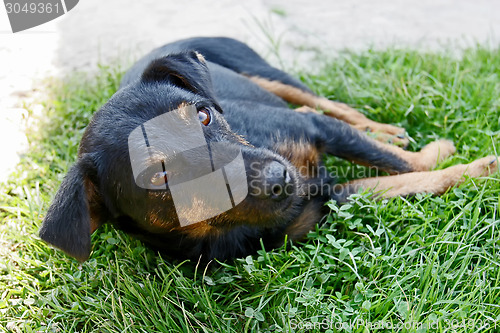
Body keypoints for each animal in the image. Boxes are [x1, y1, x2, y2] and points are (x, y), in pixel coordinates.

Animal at [38, 36, 496, 262]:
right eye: (159, 176)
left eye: (203, 115)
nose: (280, 179)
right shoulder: (333, 200)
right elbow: (411, 180)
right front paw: (472, 168)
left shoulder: (312, 129)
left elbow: (398, 162)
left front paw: (446, 154)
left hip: (269, 76)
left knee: (332, 106)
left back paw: (387, 131)